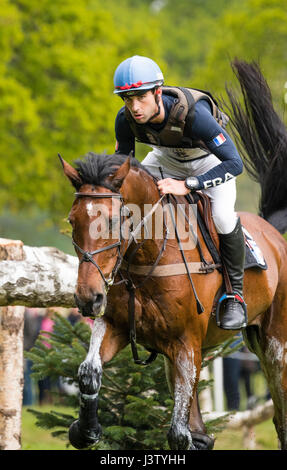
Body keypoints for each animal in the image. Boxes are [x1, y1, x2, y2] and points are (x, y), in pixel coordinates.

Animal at [59, 60, 287, 450]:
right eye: (73, 221)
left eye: (115, 219)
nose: (88, 299)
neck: (145, 263)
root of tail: (274, 233)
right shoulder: (119, 326)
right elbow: (89, 371)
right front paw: (85, 428)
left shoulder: (186, 345)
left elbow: (179, 434)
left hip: (275, 347)